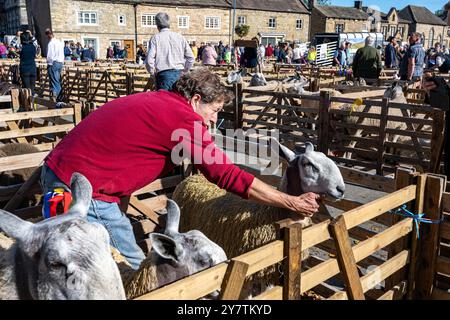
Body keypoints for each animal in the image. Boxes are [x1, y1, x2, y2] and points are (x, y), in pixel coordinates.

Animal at [171, 140, 344, 298]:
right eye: (308, 164)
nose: (341, 189)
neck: (274, 215)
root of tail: (194, 177)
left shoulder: (270, 273)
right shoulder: (248, 274)